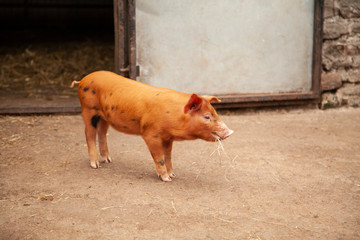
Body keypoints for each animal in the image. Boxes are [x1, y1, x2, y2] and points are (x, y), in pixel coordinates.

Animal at [71, 71, 233, 182]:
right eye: (206, 117)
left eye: (215, 113)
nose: (230, 132)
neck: (173, 115)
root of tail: (83, 79)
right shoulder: (150, 134)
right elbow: (159, 157)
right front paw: (166, 179)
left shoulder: (168, 138)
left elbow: (168, 156)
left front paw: (173, 174)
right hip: (88, 110)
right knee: (89, 134)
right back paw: (95, 165)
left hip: (104, 117)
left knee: (102, 133)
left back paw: (108, 160)